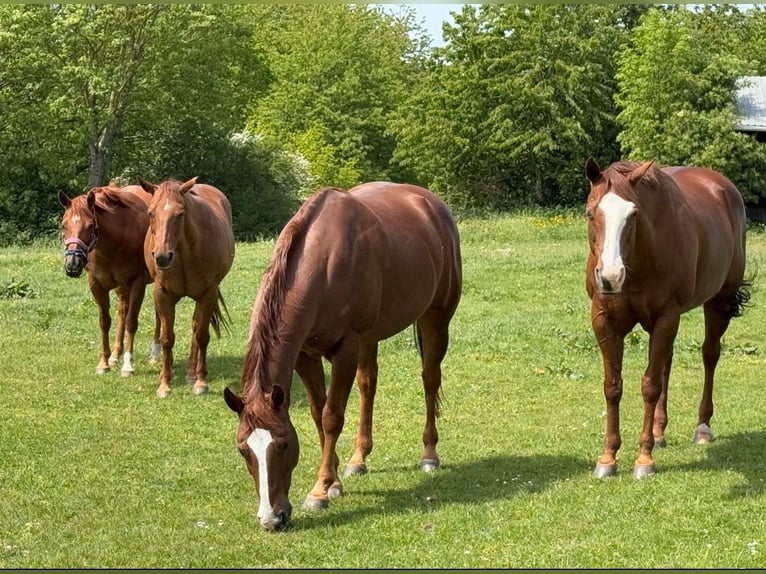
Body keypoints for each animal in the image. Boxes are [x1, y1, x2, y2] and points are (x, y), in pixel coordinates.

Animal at [58, 183, 160, 376]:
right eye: (63, 225)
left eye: (90, 225)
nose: (72, 264)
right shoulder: (96, 285)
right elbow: (105, 322)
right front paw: (104, 363)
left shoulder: (137, 283)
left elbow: (131, 322)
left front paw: (128, 366)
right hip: (121, 288)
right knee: (122, 311)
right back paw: (115, 354)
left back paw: (155, 353)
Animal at [140, 177, 235, 398]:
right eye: (151, 213)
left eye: (180, 214)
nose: (162, 257)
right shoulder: (163, 294)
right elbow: (167, 338)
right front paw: (164, 384)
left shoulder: (208, 294)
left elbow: (201, 335)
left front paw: (201, 382)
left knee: (195, 328)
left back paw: (192, 373)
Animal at [223, 182, 462, 531]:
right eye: (243, 450)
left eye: (282, 444)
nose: (271, 518)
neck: (323, 262)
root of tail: (432, 204)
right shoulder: (305, 354)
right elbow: (316, 412)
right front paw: (335, 480)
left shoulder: (346, 350)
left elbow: (332, 417)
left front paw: (320, 491)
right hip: (371, 338)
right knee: (368, 385)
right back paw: (358, 459)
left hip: (435, 320)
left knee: (430, 380)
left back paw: (429, 455)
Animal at [584, 157, 750, 479]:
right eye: (590, 212)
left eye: (633, 214)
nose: (610, 277)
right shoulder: (604, 320)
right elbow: (613, 386)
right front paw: (608, 457)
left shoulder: (666, 317)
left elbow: (650, 385)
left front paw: (644, 459)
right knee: (667, 364)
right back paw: (659, 432)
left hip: (717, 303)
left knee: (710, 355)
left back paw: (702, 427)